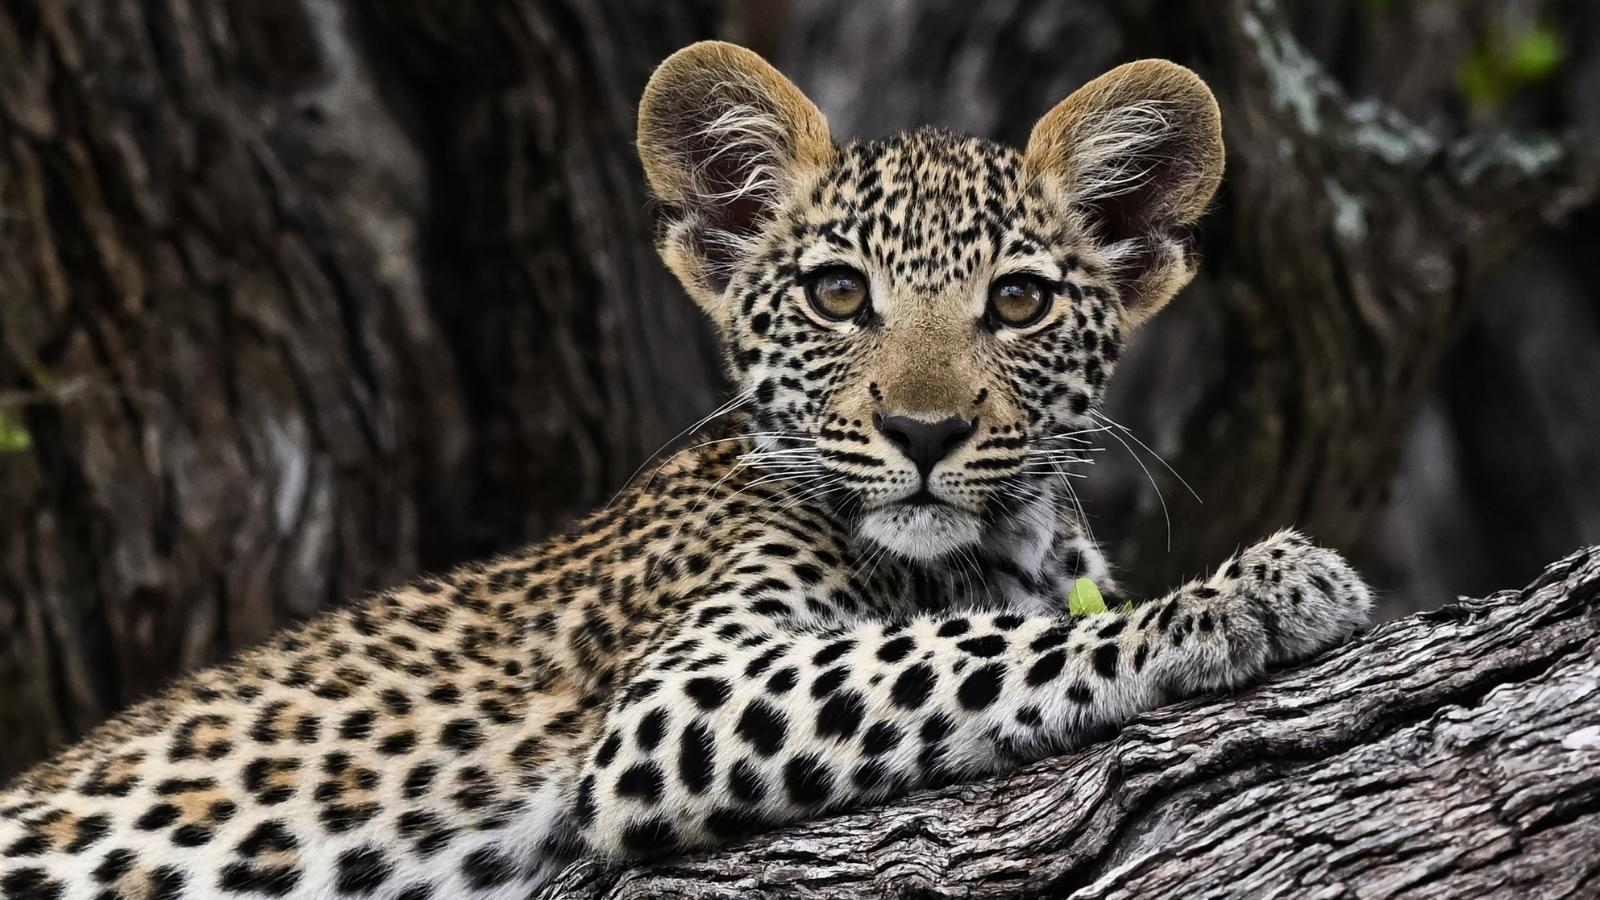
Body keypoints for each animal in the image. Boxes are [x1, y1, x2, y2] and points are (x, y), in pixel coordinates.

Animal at [0, 41, 1372, 900]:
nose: (923, 432)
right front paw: (1245, 594)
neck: (1006, 543)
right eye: (837, 295)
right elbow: (968, 651)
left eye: (1020, 303)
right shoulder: (677, 696)